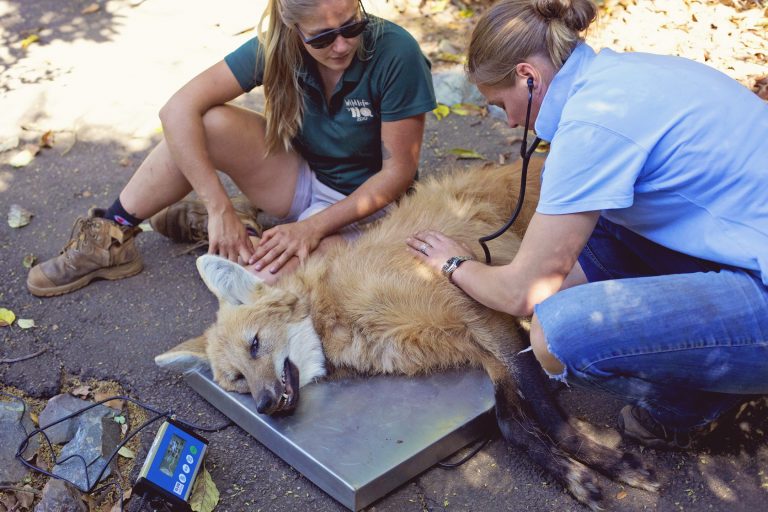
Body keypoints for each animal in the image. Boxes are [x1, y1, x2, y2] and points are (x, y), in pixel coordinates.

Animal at [159, 160, 656, 508]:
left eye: (256, 345)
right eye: (237, 381)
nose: (263, 406)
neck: (338, 312)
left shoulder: (485, 315)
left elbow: (550, 415)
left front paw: (611, 464)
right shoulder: (476, 345)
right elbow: (511, 423)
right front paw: (571, 473)